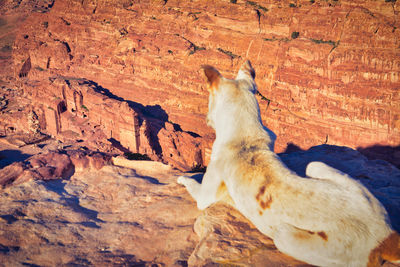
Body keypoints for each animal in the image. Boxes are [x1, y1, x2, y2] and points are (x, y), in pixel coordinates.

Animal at [179, 61, 400, 267]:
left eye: (209, 101)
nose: (206, 119)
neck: (245, 140)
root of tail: (385, 236)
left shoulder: (205, 196)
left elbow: (192, 185)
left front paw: (183, 178)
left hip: (285, 237)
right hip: (324, 171)